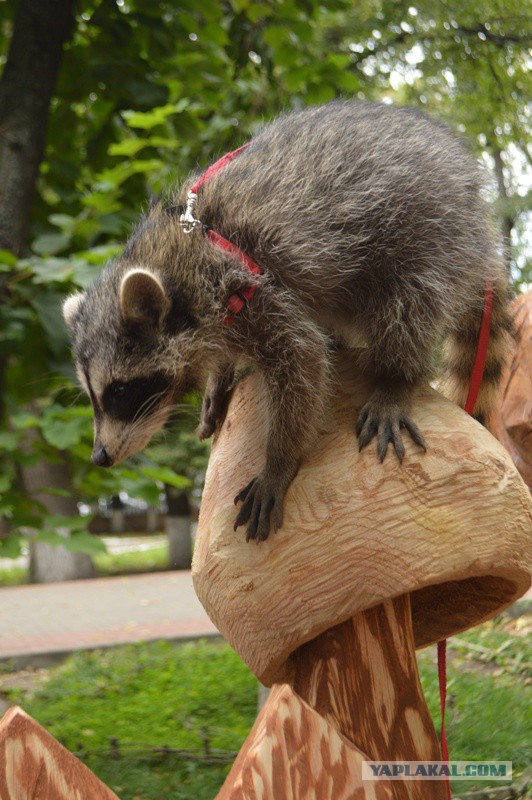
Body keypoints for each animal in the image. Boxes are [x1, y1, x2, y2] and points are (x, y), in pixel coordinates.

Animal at [62, 98, 512, 536]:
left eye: (120, 392)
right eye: (94, 395)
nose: (100, 456)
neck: (176, 258)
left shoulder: (249, 290)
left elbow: (303, 359)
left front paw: (278, 460)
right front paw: (218, 380)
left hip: (434, 231)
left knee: (411, 301)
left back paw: (395, 376)